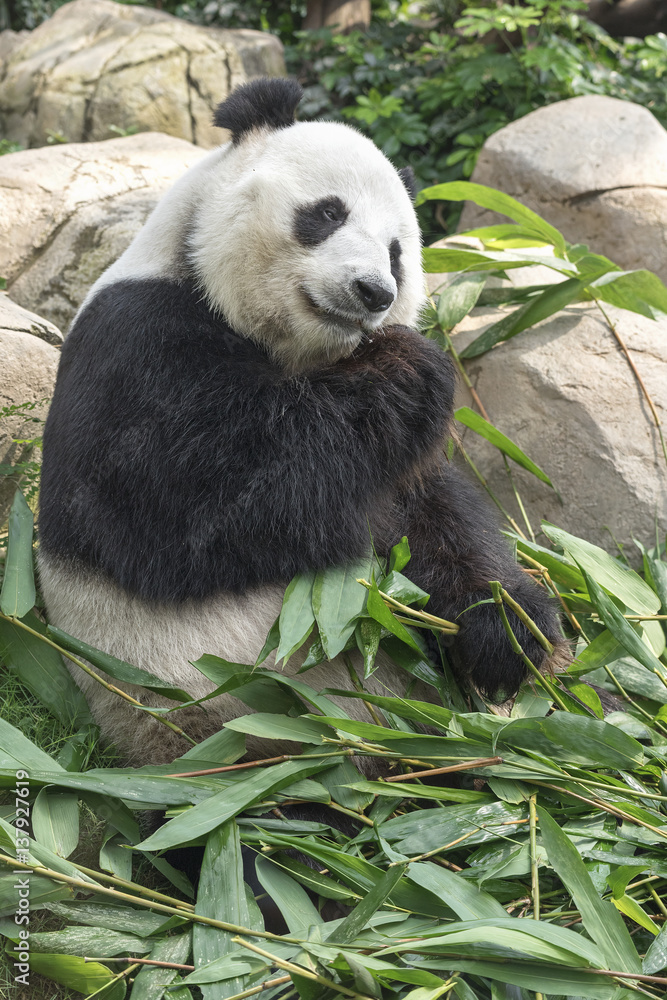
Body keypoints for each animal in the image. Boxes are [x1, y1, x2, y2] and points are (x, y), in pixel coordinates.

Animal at [38, 78, 567, 767]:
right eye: (328, 213)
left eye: (398, 253)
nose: (374, 292)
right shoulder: (133, 347)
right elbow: (202, 508)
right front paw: (408, 365)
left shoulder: (394, 469)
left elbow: (431, 516)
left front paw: (514, 633)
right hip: (233, 719)